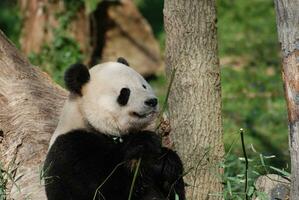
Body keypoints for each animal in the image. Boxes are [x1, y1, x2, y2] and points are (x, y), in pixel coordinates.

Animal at [44, 57, 185, 199]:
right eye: (125, 92)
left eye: (144, 86)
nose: (152, 101)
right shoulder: (73, 148)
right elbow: (104, 185)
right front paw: (145, 142)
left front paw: (167, 163)